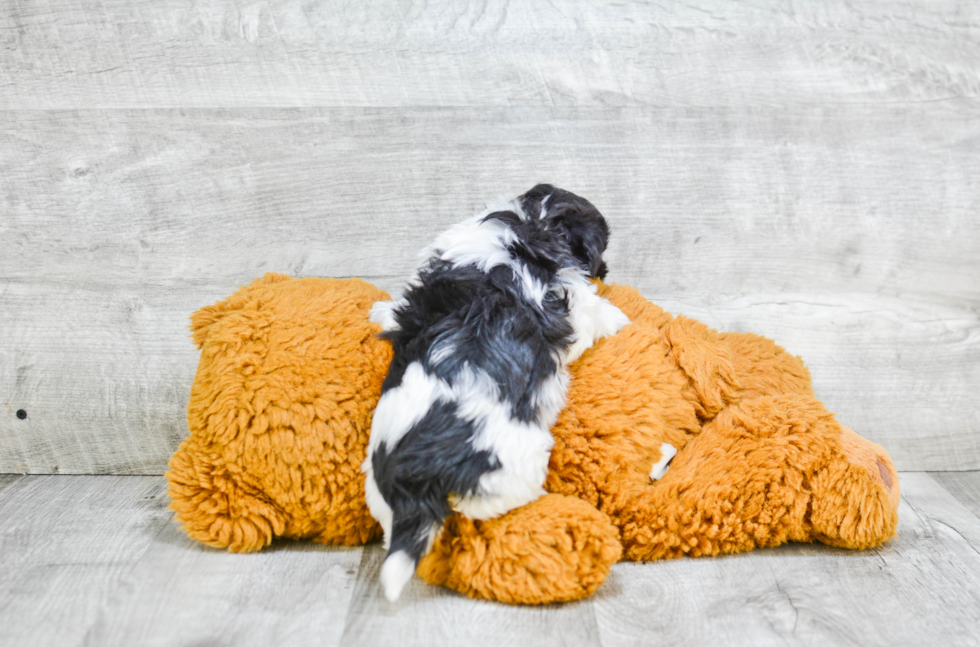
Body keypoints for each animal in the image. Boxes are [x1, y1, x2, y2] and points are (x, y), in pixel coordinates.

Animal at [364, 184, 632, 604]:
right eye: (599, 250)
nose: (605, 272)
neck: (528, 225)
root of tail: (419, 469)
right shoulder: (570, 303)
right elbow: (593, 312)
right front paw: (618, 317)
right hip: (512, 467)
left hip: (380, 492)